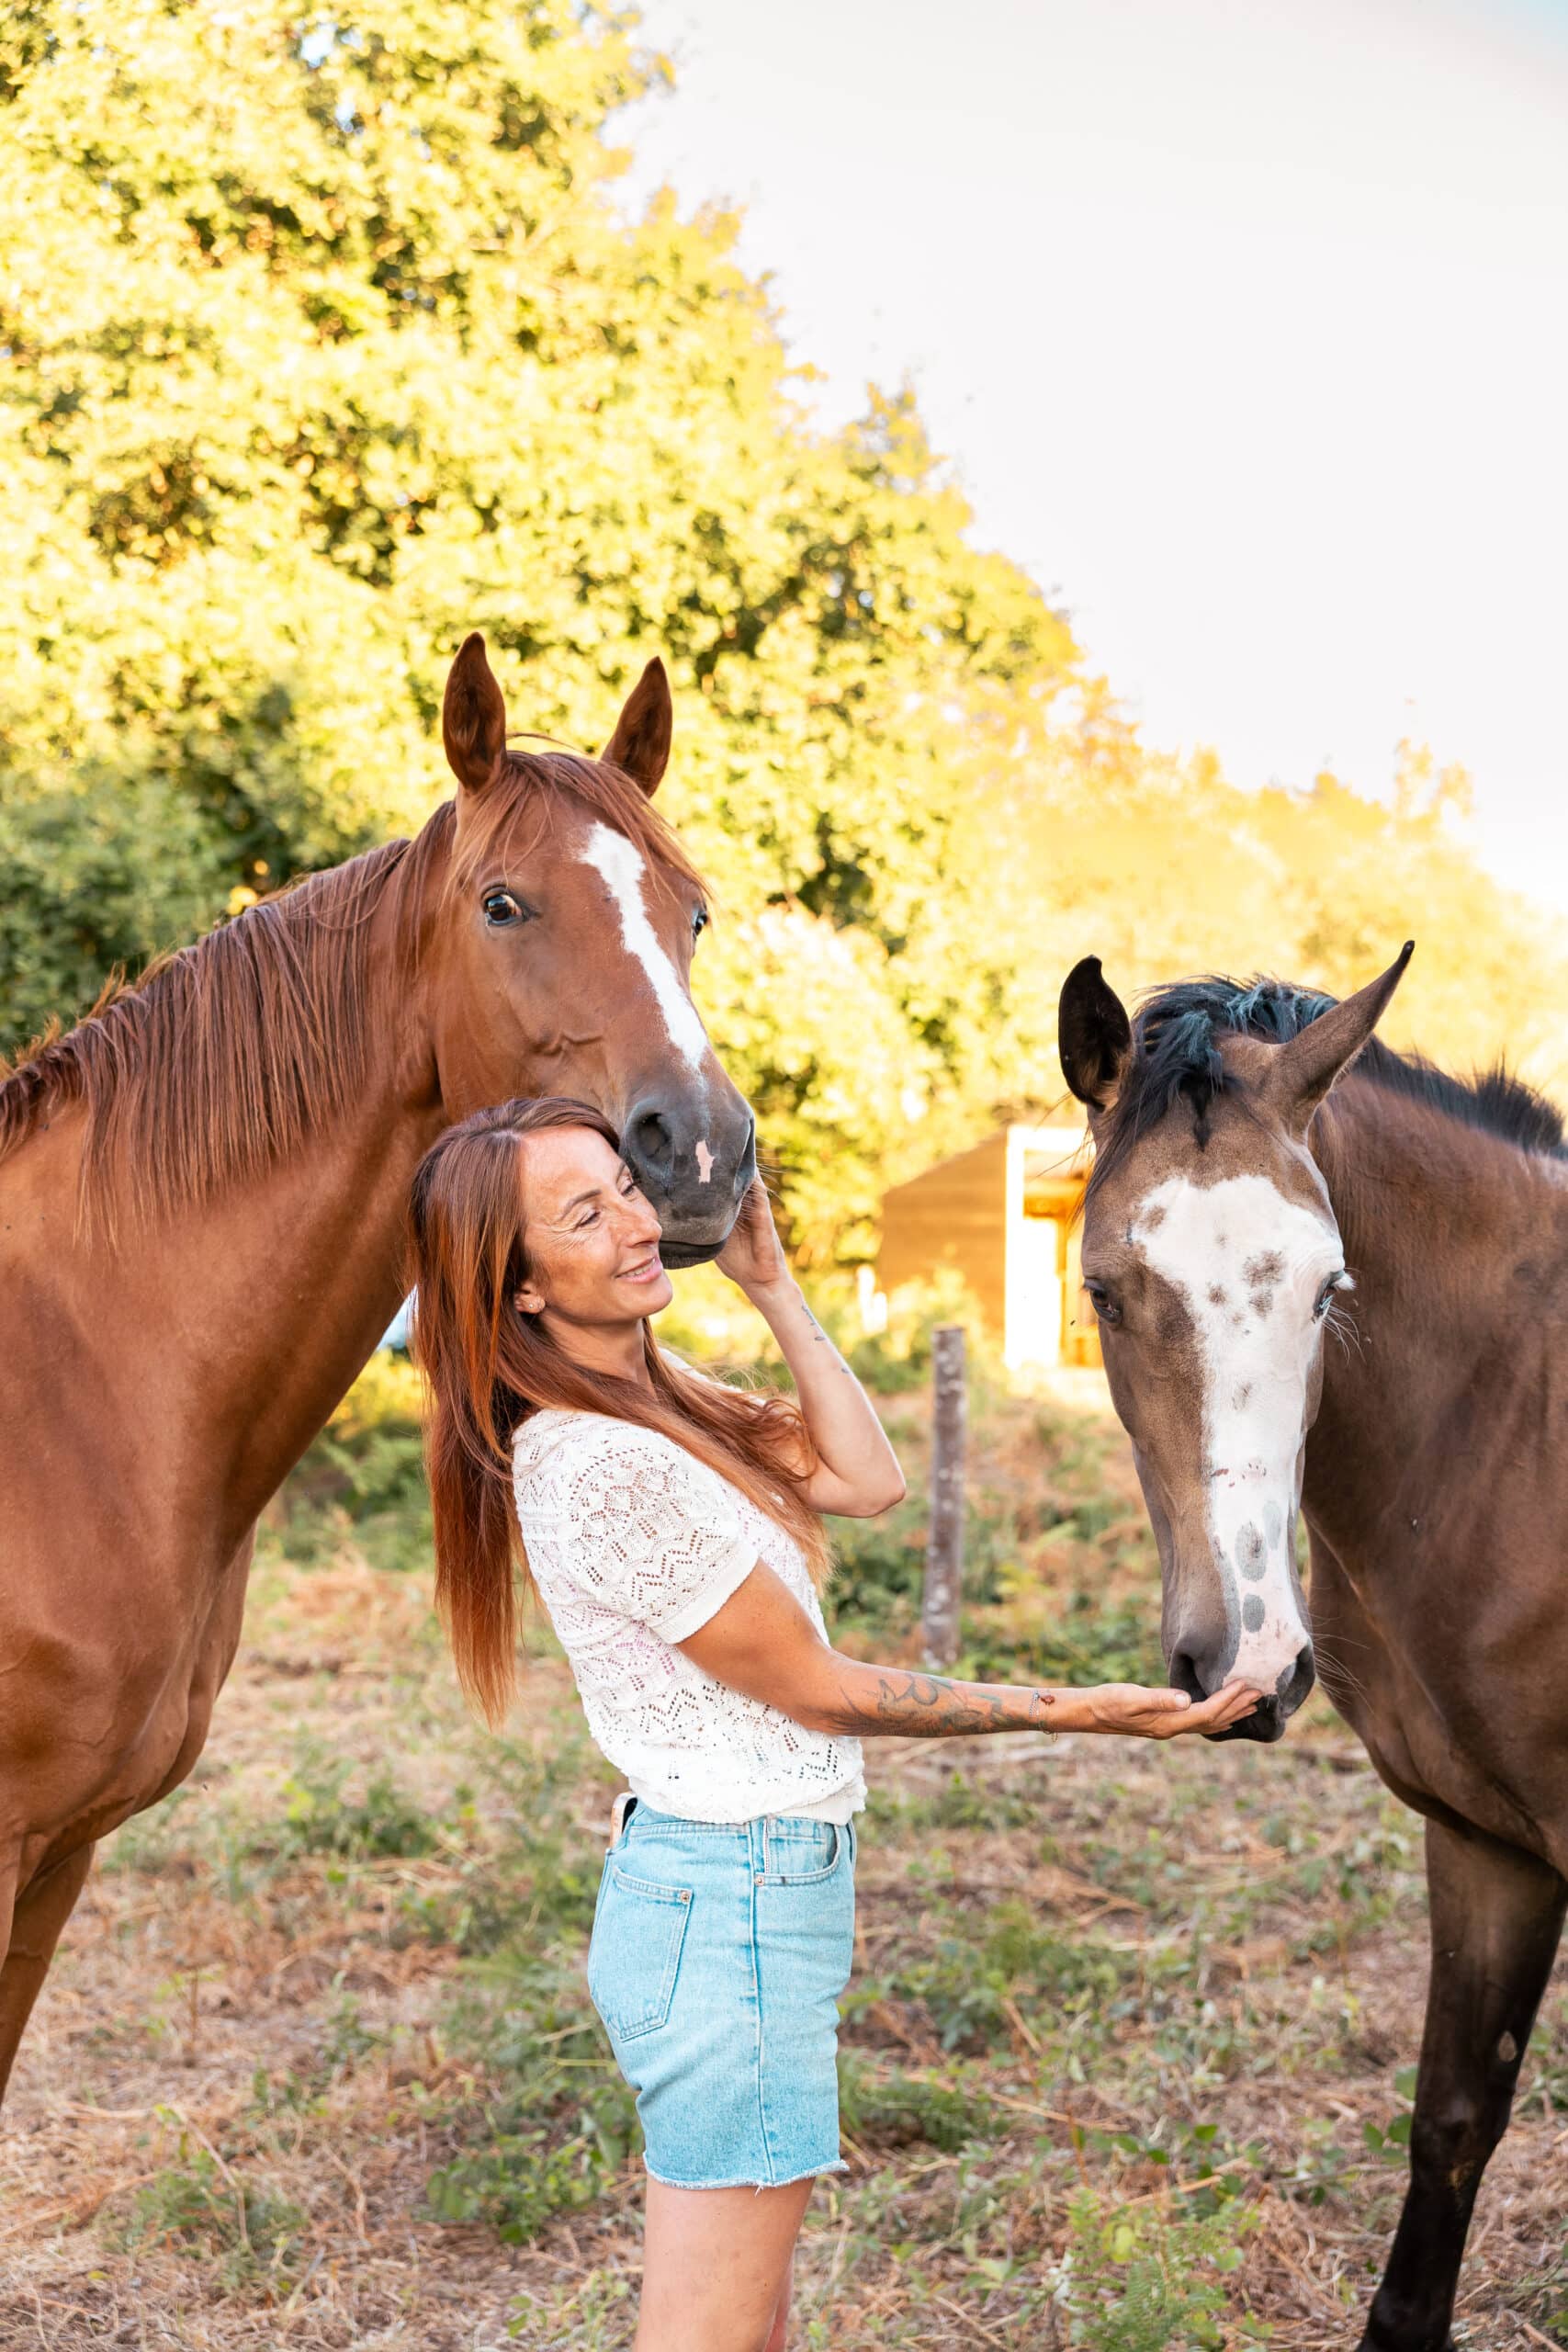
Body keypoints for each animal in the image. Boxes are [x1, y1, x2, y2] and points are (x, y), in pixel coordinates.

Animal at [1055, 945, 1567, 2351]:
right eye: (1103, 1290)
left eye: (1329, 1290)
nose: (1248, 1662)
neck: (1514, 1423)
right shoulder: (1487, 1845)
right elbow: (1451, 2124)